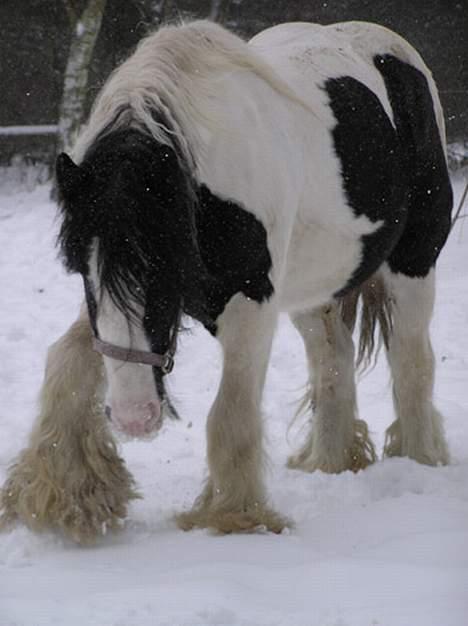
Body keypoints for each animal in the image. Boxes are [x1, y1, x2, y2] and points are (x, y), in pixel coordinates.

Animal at [0, 19, 454, 540]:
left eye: (167, 267)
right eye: (80, 267)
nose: (135, 419)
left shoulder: (251, 305)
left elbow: (230, 413)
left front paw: (234, 517)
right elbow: (67, 362)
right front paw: (66, 497)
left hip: (413, 264)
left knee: (412, 360)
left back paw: (419, 461)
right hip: (314, 286)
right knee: (333, 361)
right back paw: (332, 461)